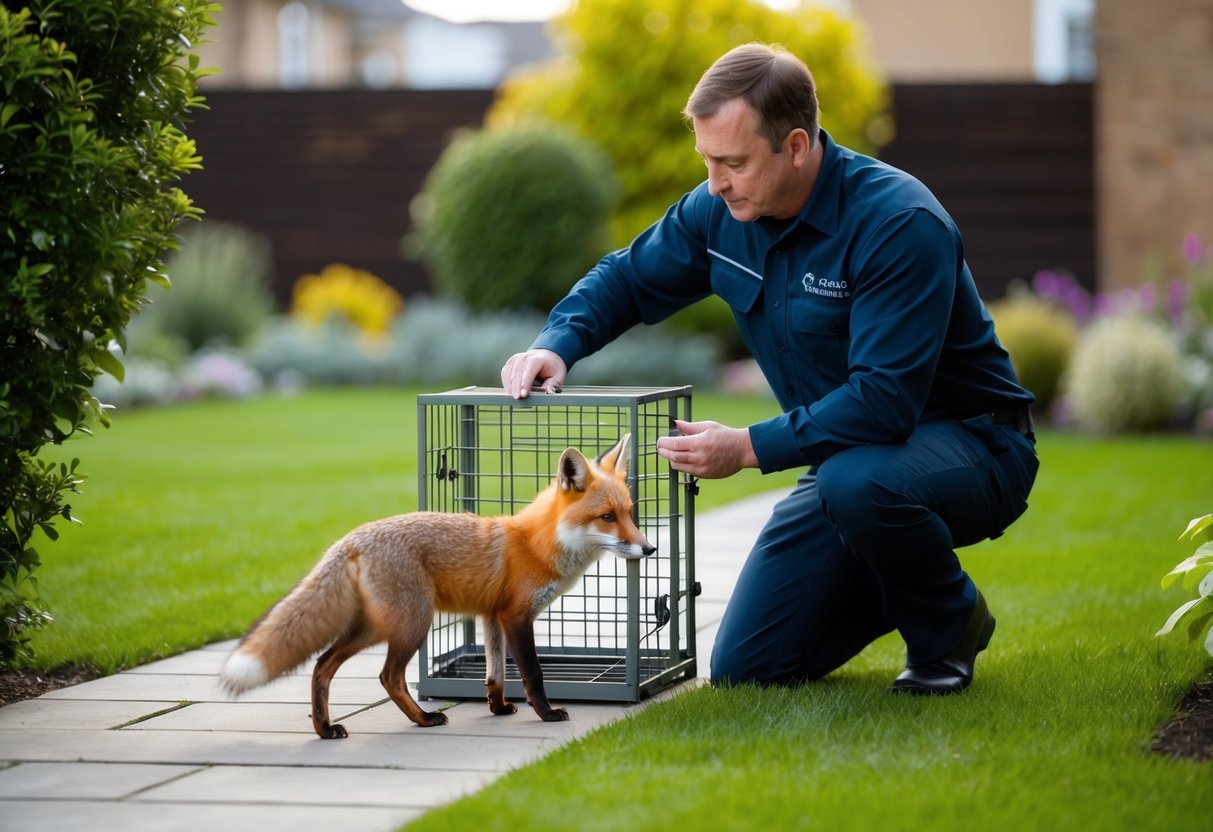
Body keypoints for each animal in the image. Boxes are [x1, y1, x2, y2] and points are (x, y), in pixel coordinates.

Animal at [219, 434, 654, 739]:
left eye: (630, 513)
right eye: (607, 517)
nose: (649, 549)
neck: (538, 543)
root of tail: (352, 538)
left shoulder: (492, 616)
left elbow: (495, 674)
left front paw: (498, 708)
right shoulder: (517, 616)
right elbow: (532, 672)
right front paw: (547, 714)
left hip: (372, 627)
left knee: (322, 666)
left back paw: (325, 730)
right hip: (412, 623)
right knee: (388, 677)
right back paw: (424, 718)